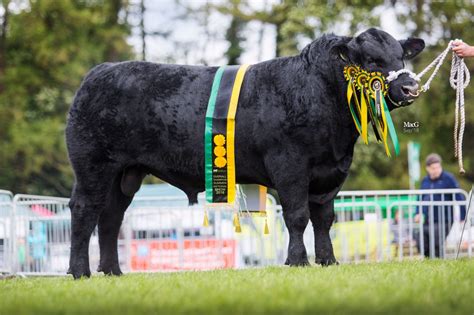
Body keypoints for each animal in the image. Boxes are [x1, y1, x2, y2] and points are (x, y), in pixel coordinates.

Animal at [65, 27, 426, 278]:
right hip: (93, 165)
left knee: (111, 217)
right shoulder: (290, 165)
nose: (410, 87)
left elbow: (324, 219)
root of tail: (99, 72)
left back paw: (113, 271)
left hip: (126, 173)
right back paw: (80, 272)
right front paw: (298, 261)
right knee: (84, 210)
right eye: (373, 61)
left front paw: (328, 260)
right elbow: (298, 216)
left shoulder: (331, 172)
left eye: (401, 58)